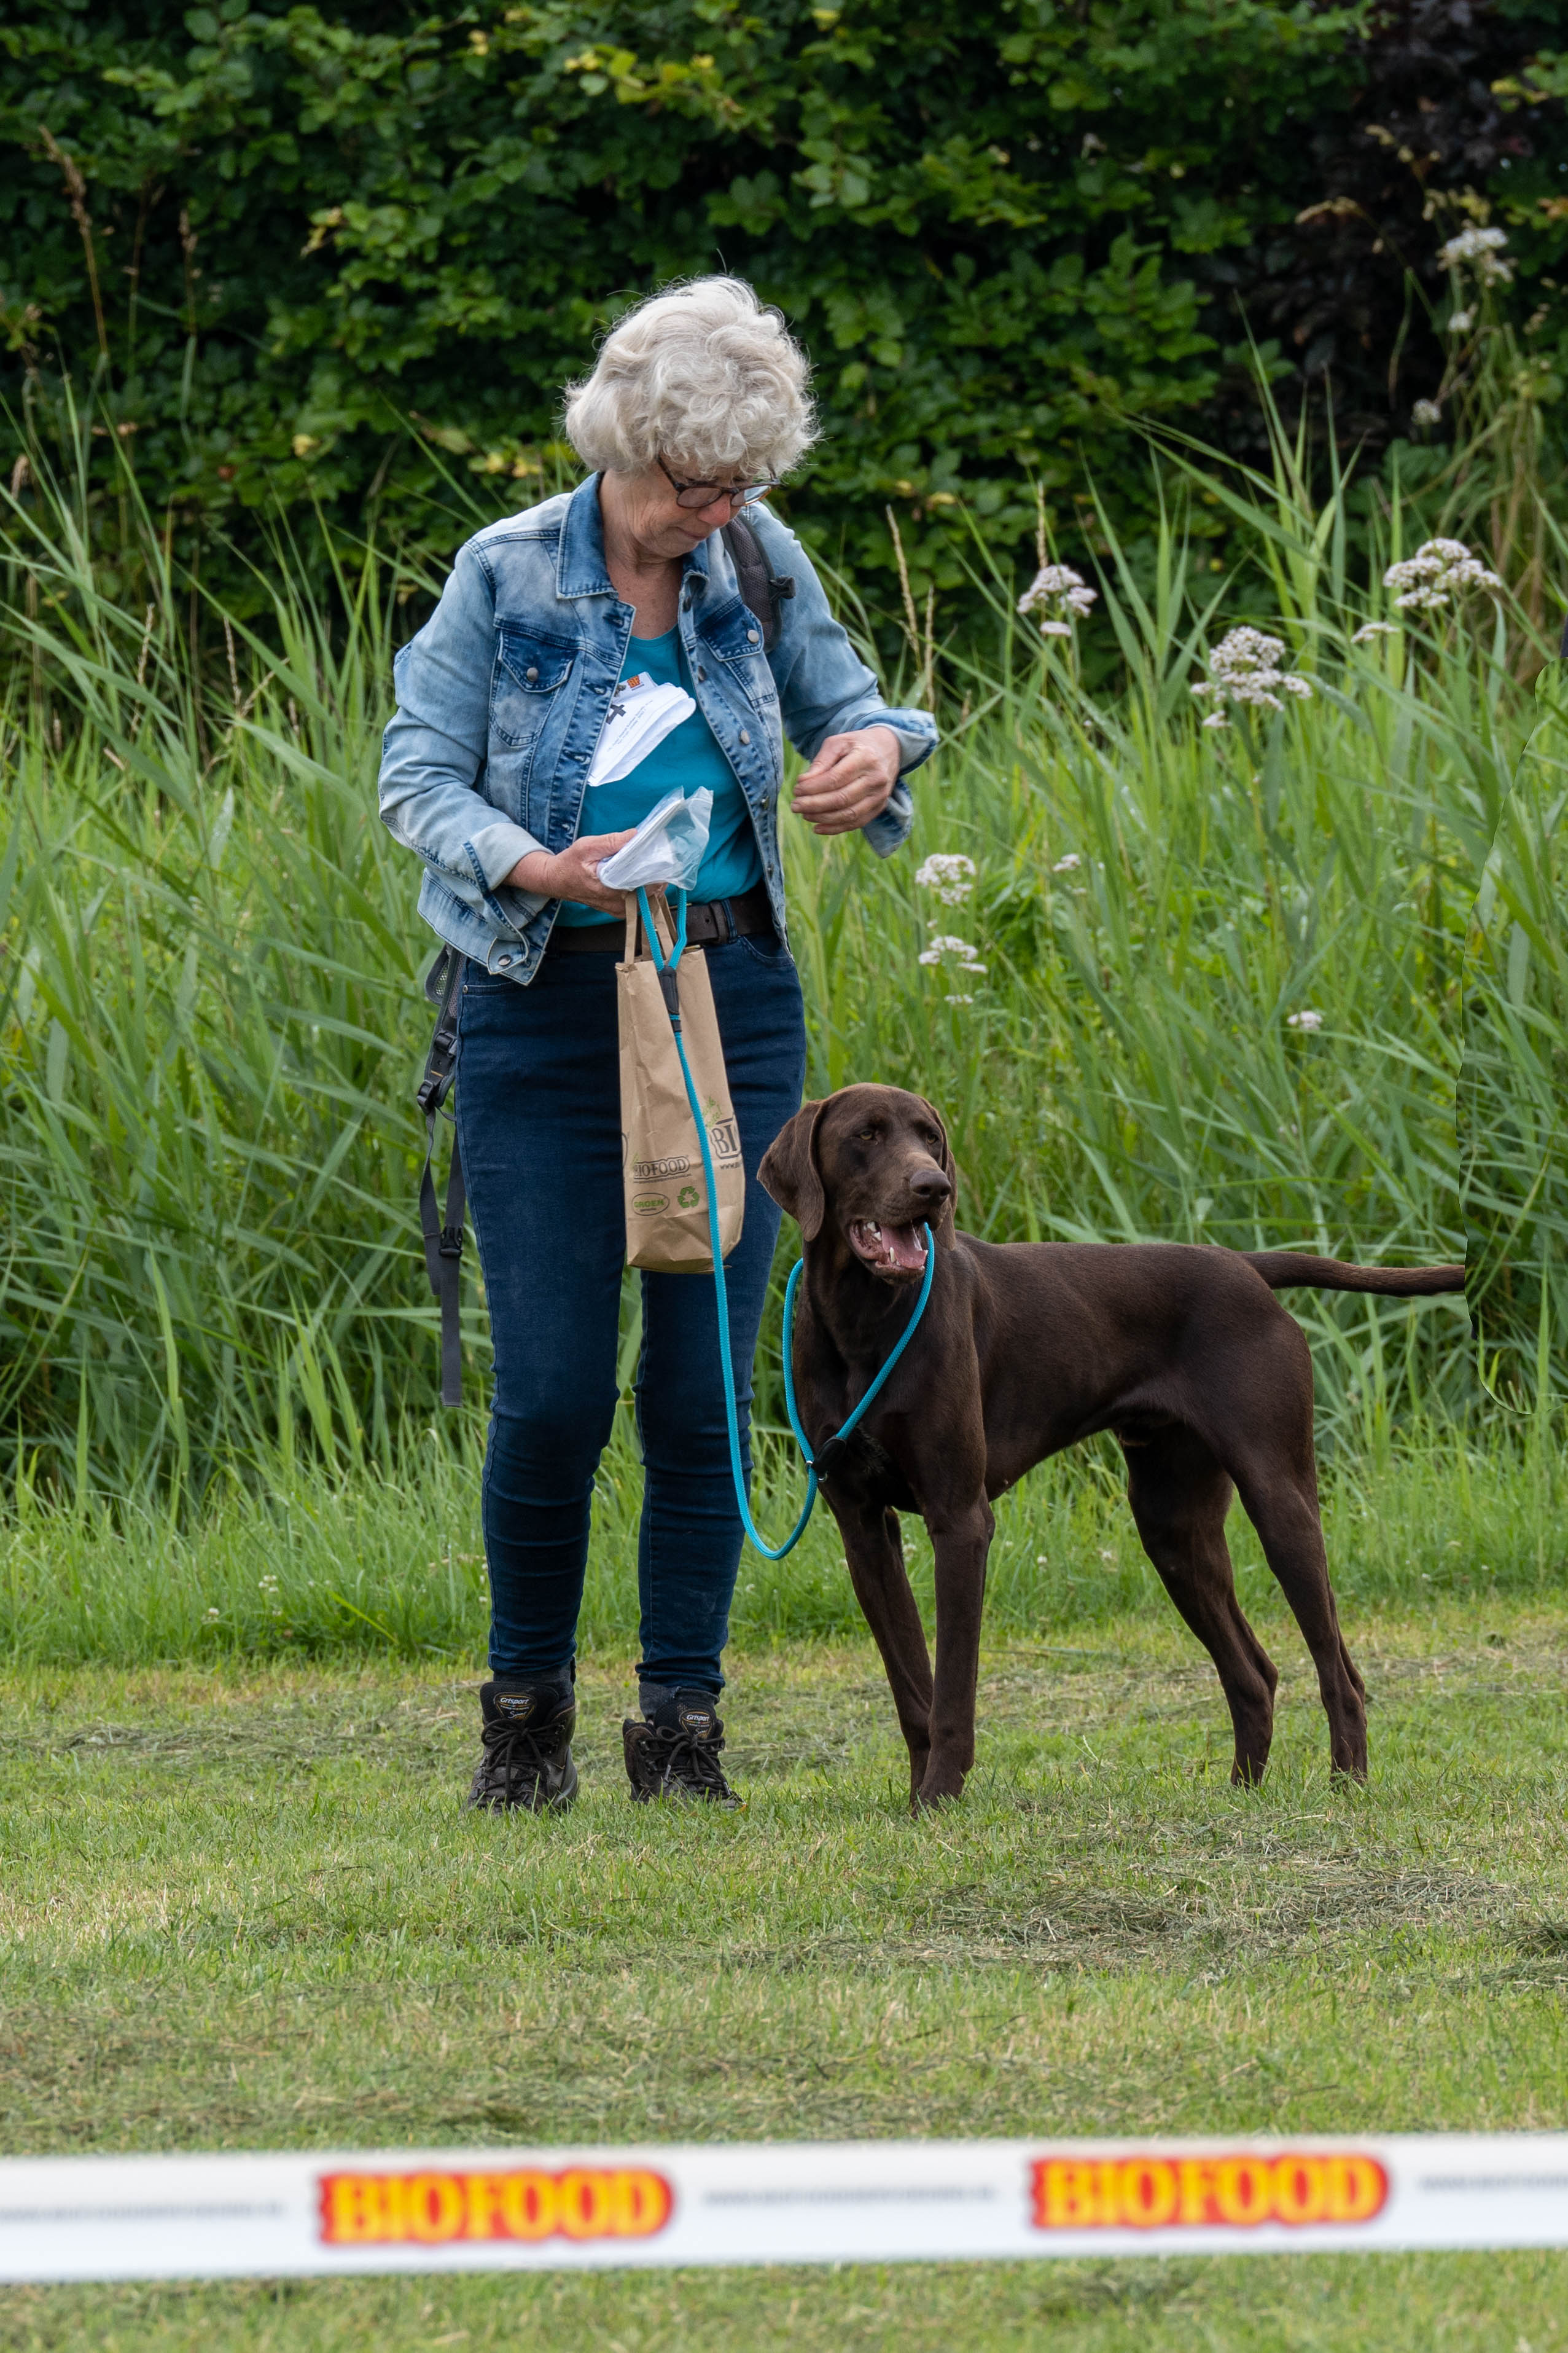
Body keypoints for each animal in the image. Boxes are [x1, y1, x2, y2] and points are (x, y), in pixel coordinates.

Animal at [758, 1084, 1464, 1808]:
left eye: (929, 1137)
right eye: (866, 1135)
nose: (935, 1187)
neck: (862, 1322)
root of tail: (1242, 1264)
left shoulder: (960, 1521)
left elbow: (954, 1687)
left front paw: (941, 1794)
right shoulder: (864, 1531)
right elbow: (911, 1688)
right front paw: (917, 1797)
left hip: (1281, 1502)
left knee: (1338, 1672)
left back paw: (1346, 1785)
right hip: (1172, 1528)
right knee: (1253, 1672)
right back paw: (1242, 1792)